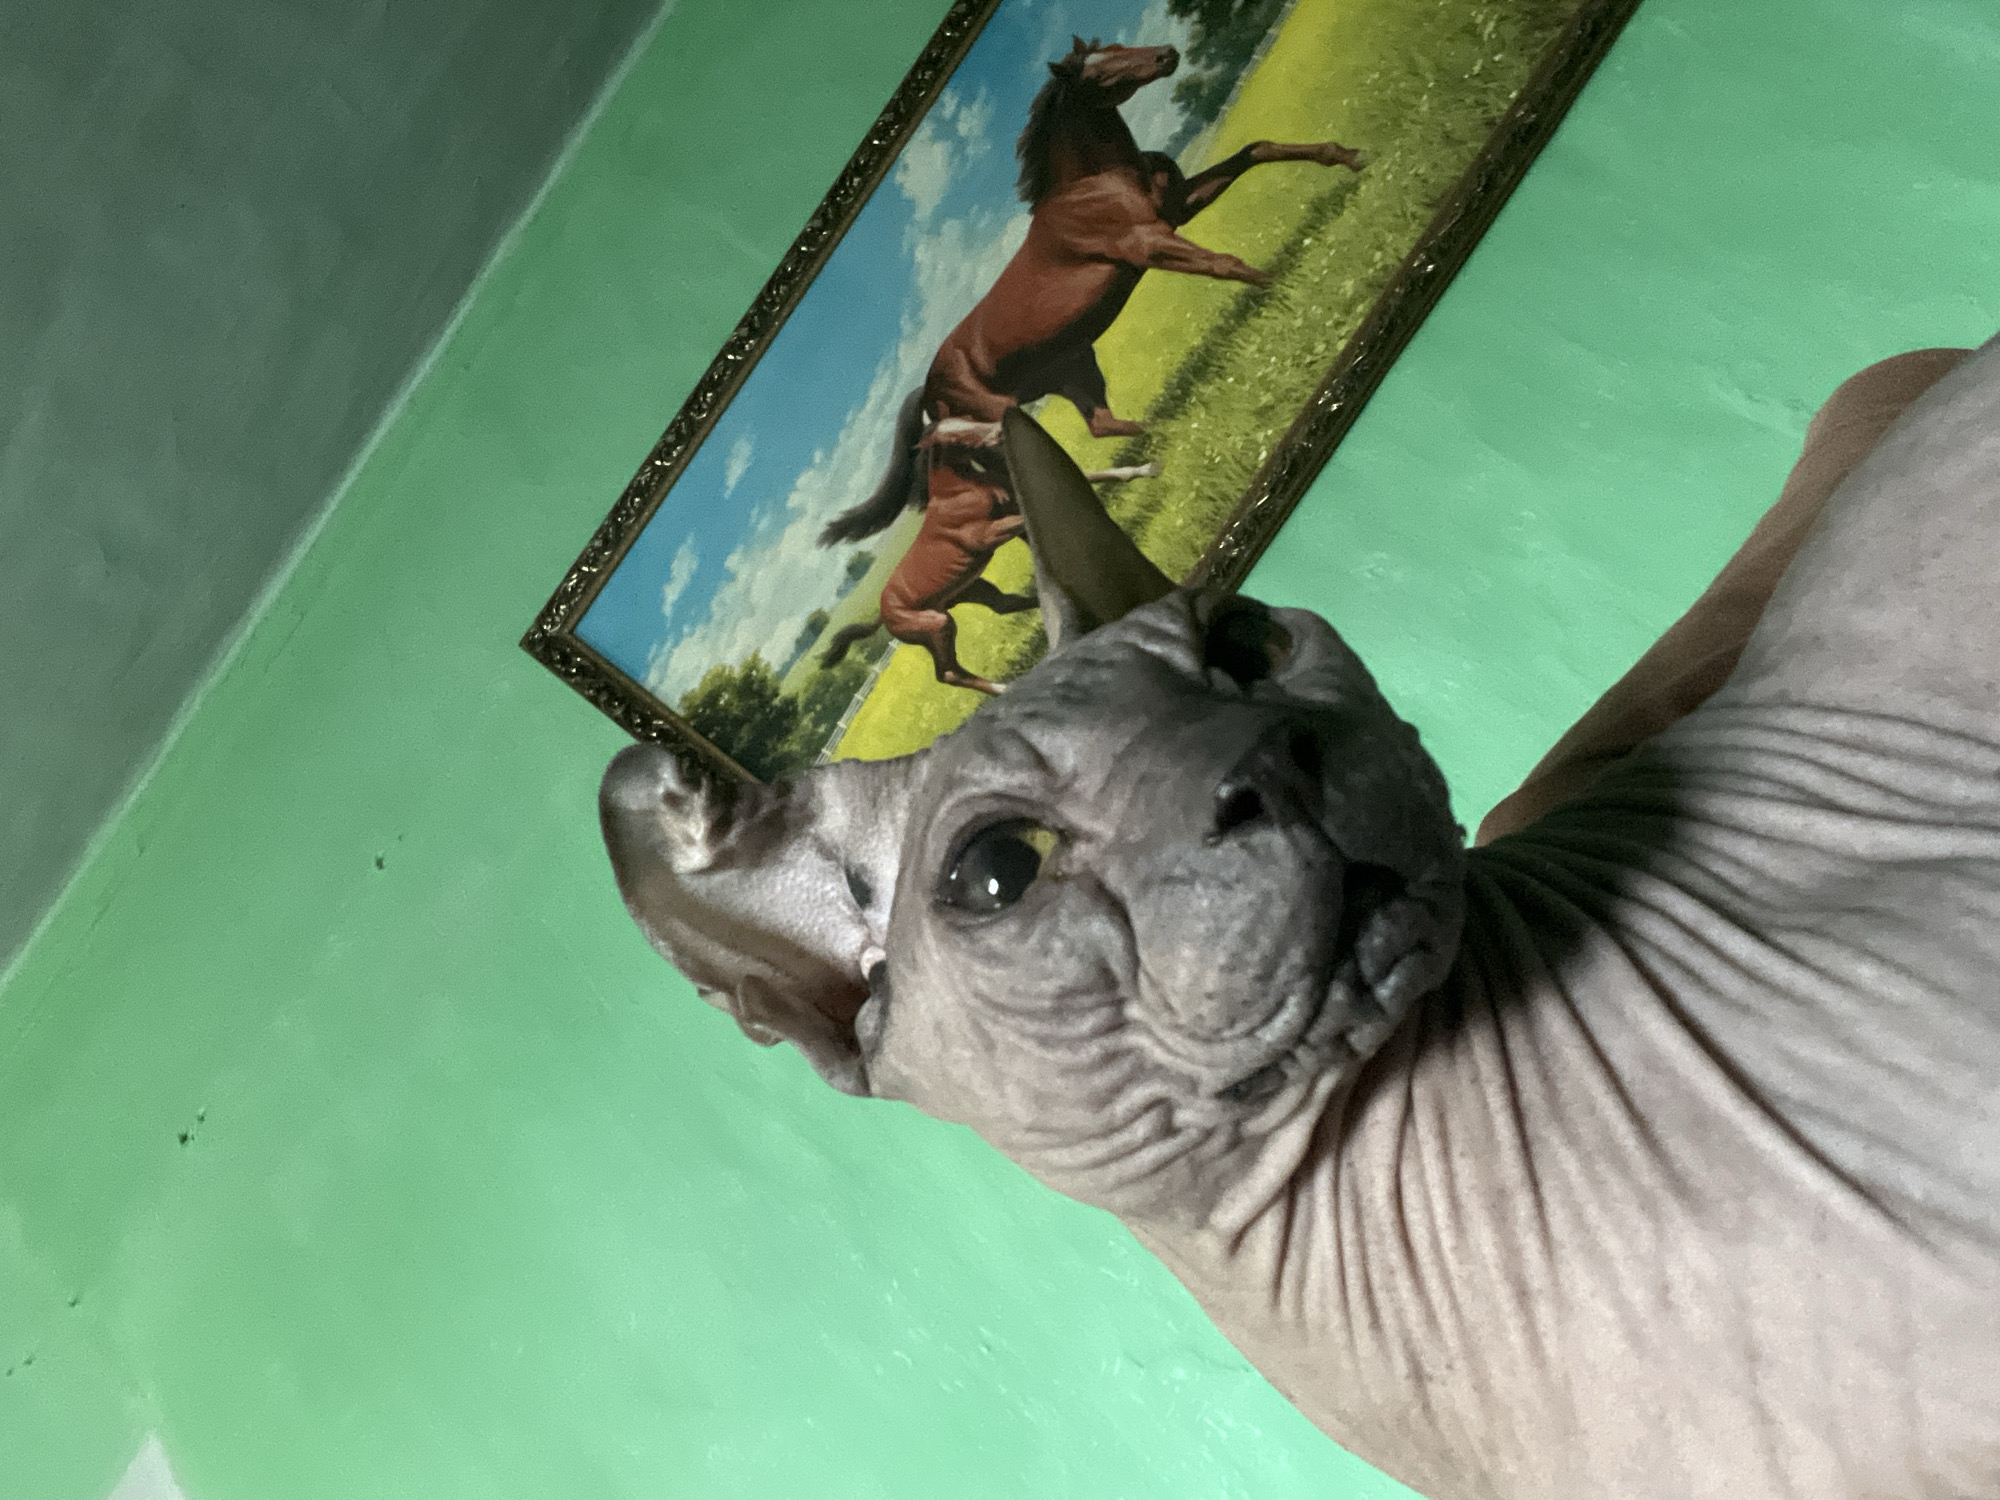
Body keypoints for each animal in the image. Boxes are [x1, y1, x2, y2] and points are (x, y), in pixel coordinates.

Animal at [816, 36, 1364, 548]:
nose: (1167, 54)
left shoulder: (1180, 205)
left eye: (1116, 49)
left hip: (1073, 366)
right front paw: (1292, 283)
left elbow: (1257, 151)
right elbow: (1222, 264)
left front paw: (1349, 158)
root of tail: (928, 389)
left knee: (1102, 423)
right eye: (1092, 72)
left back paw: (1162, 435)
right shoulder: (1147, 242)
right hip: (1000, 416)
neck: (1096, 183)